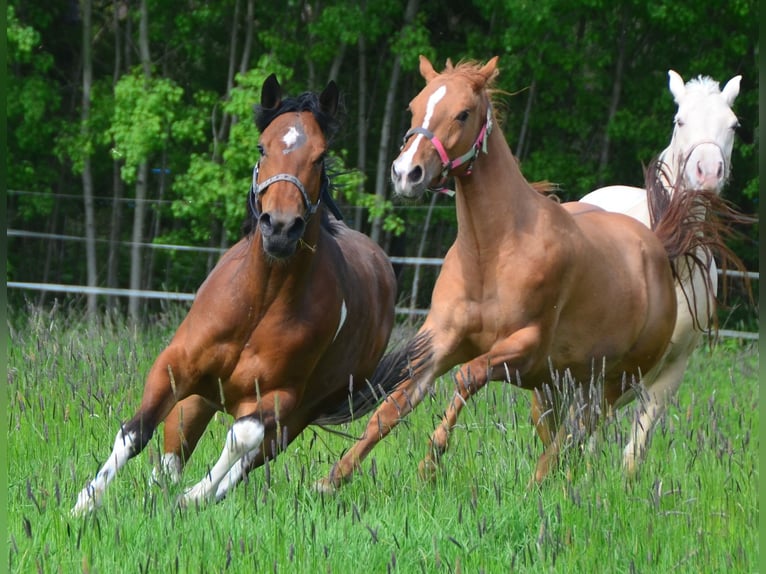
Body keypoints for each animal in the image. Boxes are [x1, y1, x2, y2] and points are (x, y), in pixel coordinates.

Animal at [73, 76, 400, 516]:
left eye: (319, 157)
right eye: (262, 147)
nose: (280, 227)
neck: (258, 302)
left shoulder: (278, 399)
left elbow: (241, 439)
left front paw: (192, 497)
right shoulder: (175, 366)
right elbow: (134, 432)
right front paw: (84, 504)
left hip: (295, 416)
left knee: (248, 459)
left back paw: (190, 498)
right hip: (201, 398)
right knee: (173, 454)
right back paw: (157, 495)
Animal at [316, 56, 708, 492]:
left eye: (463, 113)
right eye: (414, 107)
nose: (406, 173)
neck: (492, 253)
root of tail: (657, 248)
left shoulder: (523, 348)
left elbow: (467, 377)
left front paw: (431, 461)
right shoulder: (441, 340)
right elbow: (392, 408)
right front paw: (332, 477)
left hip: (618, 379)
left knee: (582, 428)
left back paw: (540, 482)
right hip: (560, 385)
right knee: (566, 432)